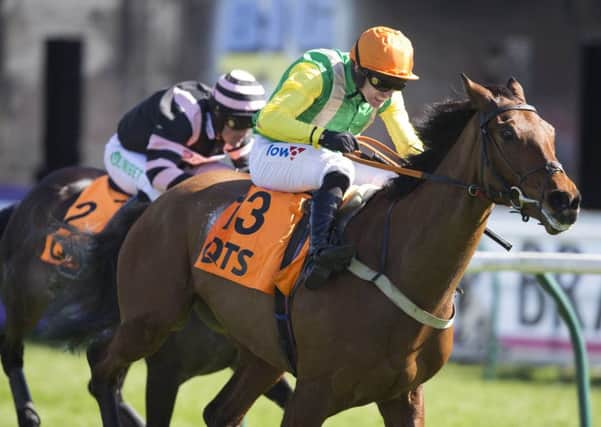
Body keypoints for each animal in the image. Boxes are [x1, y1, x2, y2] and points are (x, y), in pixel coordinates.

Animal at [86, 75, 580, 426]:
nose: (567, 200)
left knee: (218, 411)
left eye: (551, 130)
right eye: (509, 134)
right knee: (102, 368)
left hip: (261, 351)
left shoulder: (404, 396)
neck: (398, 269)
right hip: (151, 318)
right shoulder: (312, 394)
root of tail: (166, 197)